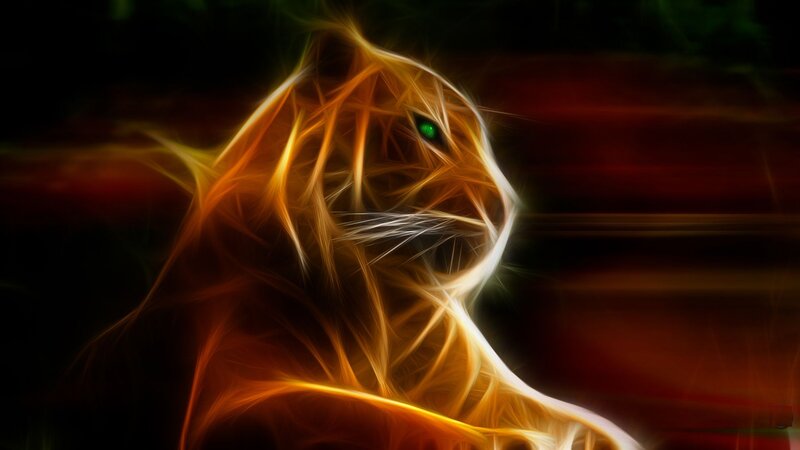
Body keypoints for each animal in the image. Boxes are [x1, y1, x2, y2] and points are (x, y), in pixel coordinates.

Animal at [103, 19, 640, 450]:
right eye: (427, 129)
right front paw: (511, 442)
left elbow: (585, 421)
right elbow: (373, 415)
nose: (505, 207)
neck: (381, 303)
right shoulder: (233, 392)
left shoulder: (480, 385)